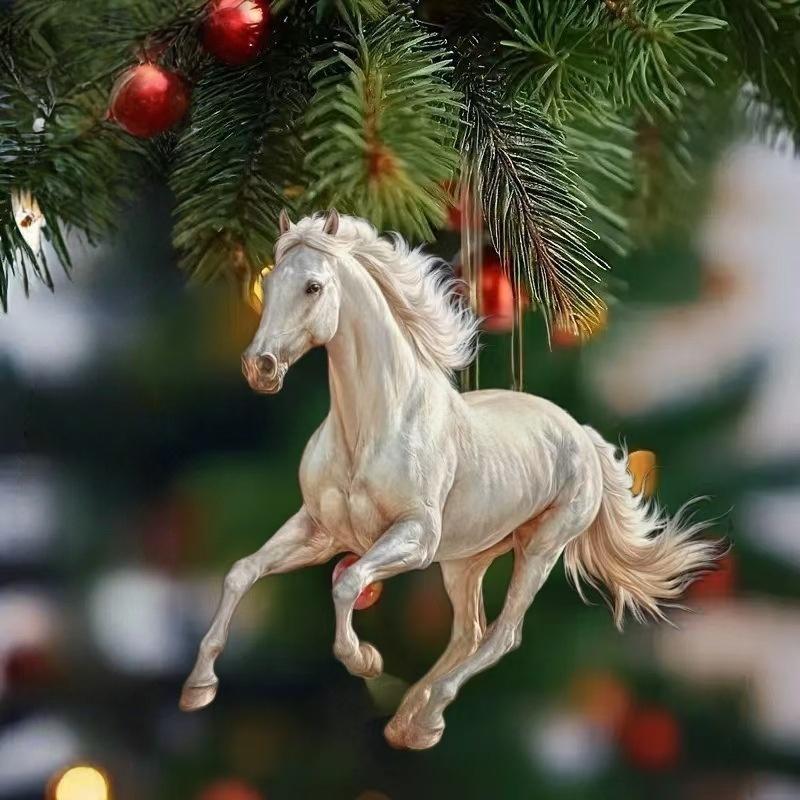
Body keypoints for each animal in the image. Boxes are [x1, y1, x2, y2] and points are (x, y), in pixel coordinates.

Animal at [179, 209, 719, 749]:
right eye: (268, 283)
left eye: (313, 286)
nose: (261, 367)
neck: (370, 429)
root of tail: (582, 436)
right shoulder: (319, 531)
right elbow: (241, 571)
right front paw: (198, 688)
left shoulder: (414, 539)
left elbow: (347, 583)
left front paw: (365, 659)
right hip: (464, 561)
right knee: (468, 634)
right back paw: (408, 723)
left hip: (540, 548)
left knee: (501, 635)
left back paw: (426, 718)